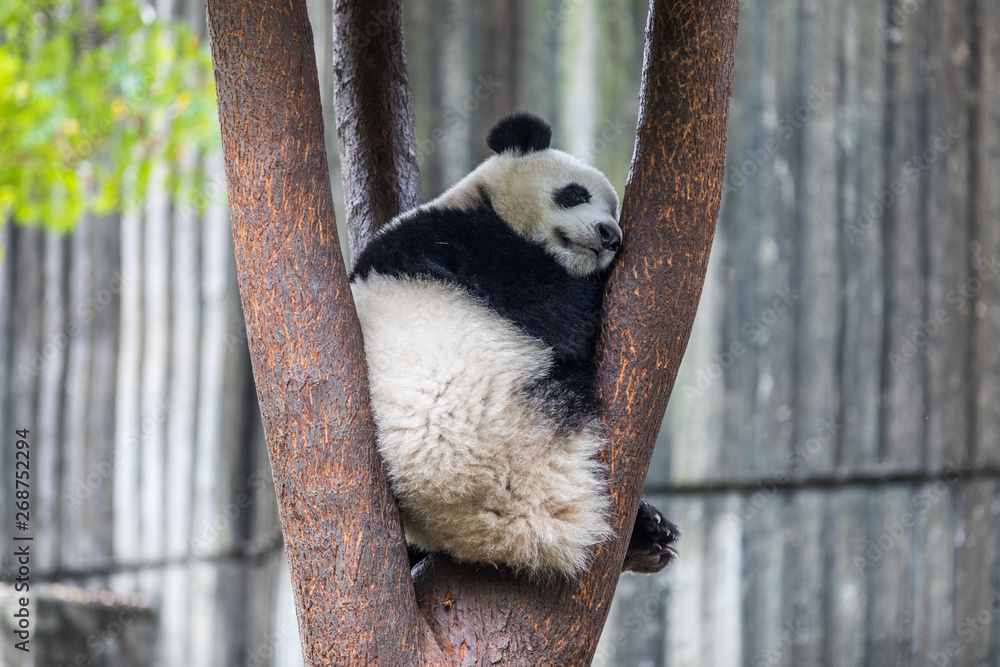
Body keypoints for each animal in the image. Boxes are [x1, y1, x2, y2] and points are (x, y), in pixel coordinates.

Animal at [350, 112, 678, 576]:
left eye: (616, 212)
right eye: (575, 194)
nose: (609, 235)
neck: (476, 200)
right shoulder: (469, 246)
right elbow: (564, 313)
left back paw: (649, 534)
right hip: (516, 430)